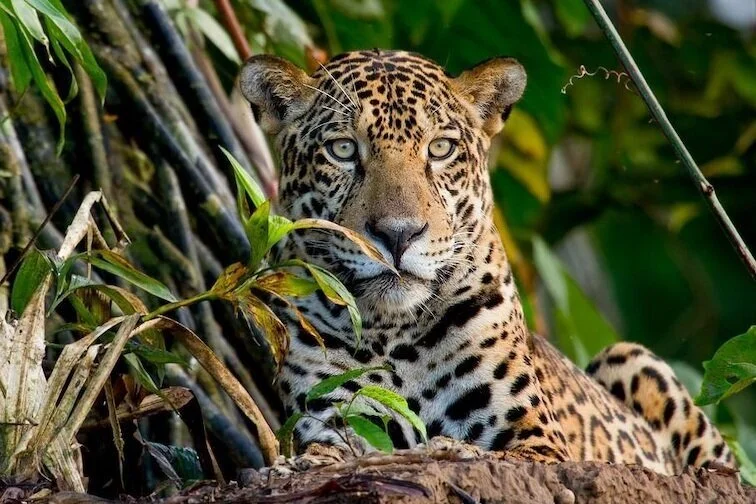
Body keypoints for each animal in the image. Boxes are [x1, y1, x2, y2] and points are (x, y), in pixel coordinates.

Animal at [238, 49, 736, 475]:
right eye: (342, 149)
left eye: (440, 149)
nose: (398, 234)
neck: (391, 333)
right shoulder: (332, 418)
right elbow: (326, 451)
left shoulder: (536, 440)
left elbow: (481, 450)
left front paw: (447, 449)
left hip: (630, 358)